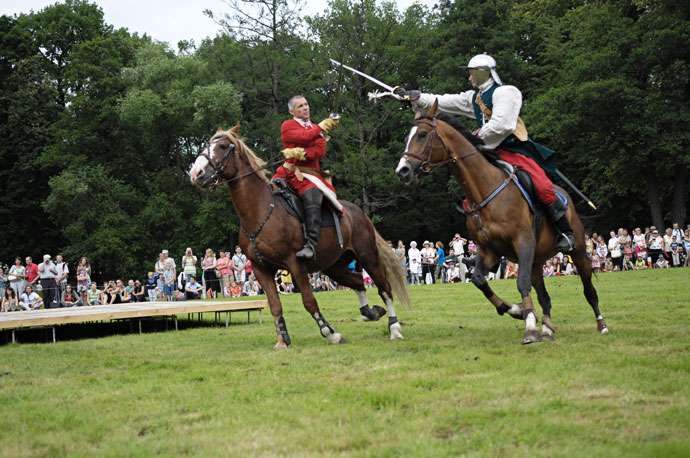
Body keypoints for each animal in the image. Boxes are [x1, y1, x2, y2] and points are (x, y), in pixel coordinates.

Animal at [188, 123, 408, 348]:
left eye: (223, 146)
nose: (196, 173)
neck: (260, 210)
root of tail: (359, 214)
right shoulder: (261, 269)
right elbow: (275, 305)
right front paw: (282, 340)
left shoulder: (295, 264)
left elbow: (309, 301)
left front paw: (330, 333)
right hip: (333, 266)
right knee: (358, 282)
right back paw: (370, 312)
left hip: (367, 256)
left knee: (384, 289)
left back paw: (394, 328)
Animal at [396, 100, 604, 344]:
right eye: (407, 137)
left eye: (422, 134)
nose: (402, 171)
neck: (484, 190)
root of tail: (566, 197)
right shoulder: (490, 251)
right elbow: (479, 279)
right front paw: (516, 310)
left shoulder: (523, 242)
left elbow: (520, 283)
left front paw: (529, 326)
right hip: (536, 261)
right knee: (544, 297)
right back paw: (547, 328)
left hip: (578, 251)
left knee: (589, 289)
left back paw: (601, 325)